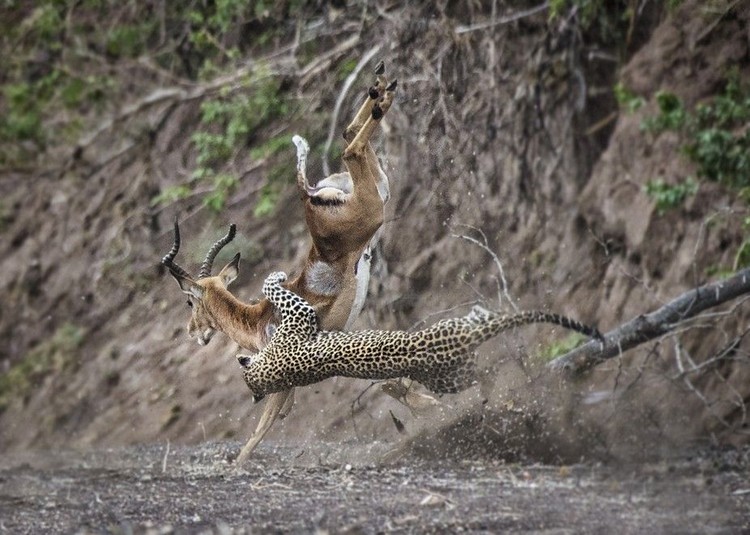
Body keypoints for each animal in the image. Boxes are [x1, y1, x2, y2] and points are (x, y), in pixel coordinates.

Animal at [238, 272, 604, 402]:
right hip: (450, 376)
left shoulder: (301, 318)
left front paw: (277, 275)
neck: (272, 372)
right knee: (482, 370)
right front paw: (277, 275)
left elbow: (272, 289)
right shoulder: (300, 316)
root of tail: (461, 339)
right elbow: (272, 288)